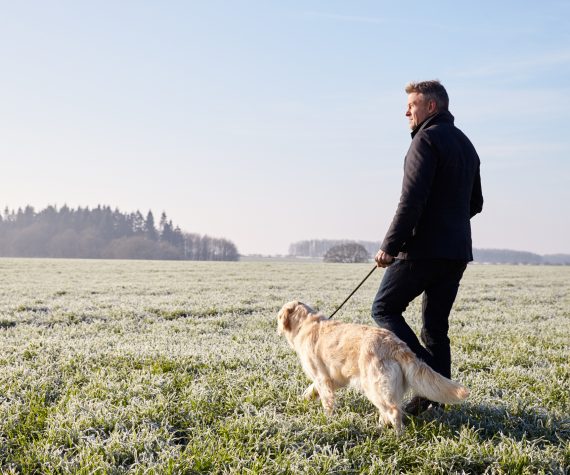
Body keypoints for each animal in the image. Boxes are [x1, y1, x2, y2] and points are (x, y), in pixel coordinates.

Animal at [276, 302, 466, 436]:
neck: (306, 324)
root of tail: (395, 344)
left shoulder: (323, 377)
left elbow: (327, 401)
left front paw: (328, 419)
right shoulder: (334, 377)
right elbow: (311, 389)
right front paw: (304, 398)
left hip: (374, 386)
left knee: (394, 411)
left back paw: (399, 436)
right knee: (387, 411)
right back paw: (380, 428)